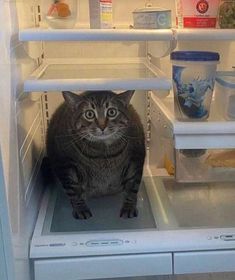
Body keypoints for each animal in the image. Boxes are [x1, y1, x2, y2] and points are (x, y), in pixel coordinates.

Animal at [45, 91, 145, 220]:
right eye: (89, 114)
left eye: (112, 112)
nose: (102, 126)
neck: (102, 152)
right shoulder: (64, 165)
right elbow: (73, 190)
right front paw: (81, 209)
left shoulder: (135, 160)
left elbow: (132, 188)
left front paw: (129, 208)